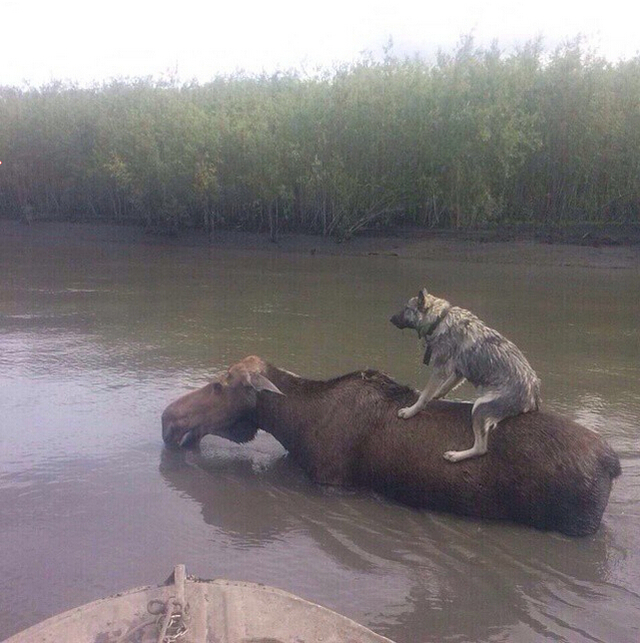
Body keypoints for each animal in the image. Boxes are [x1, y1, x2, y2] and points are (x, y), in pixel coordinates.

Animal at [390, 288, 540, 462]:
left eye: (406, 308)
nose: (391, 319)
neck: (439, 319)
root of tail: (533, 397)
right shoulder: (457, 373)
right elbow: (442, 389)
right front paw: (436, 396)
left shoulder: (440, 369)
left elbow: (424, 397)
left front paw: (410, 411)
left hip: (480, 407)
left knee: (481, 449)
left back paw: (455, 455)